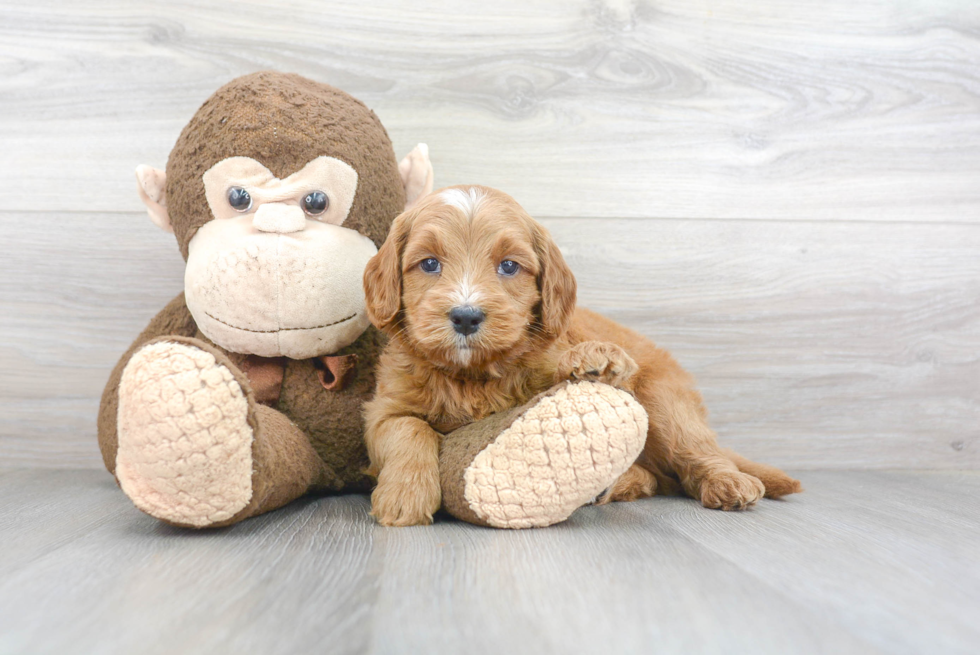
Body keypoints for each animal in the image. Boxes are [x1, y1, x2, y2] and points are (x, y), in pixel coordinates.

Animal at [364, 184, 800, 528]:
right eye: (429, 264)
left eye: (509, 266)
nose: (466, 316)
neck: (473, 374)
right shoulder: (384, 411)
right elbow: (408, 429)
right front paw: (405, 496)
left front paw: (596, 357)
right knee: (655, 476)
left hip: (665, 401)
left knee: (695, 450)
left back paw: (727, 482)